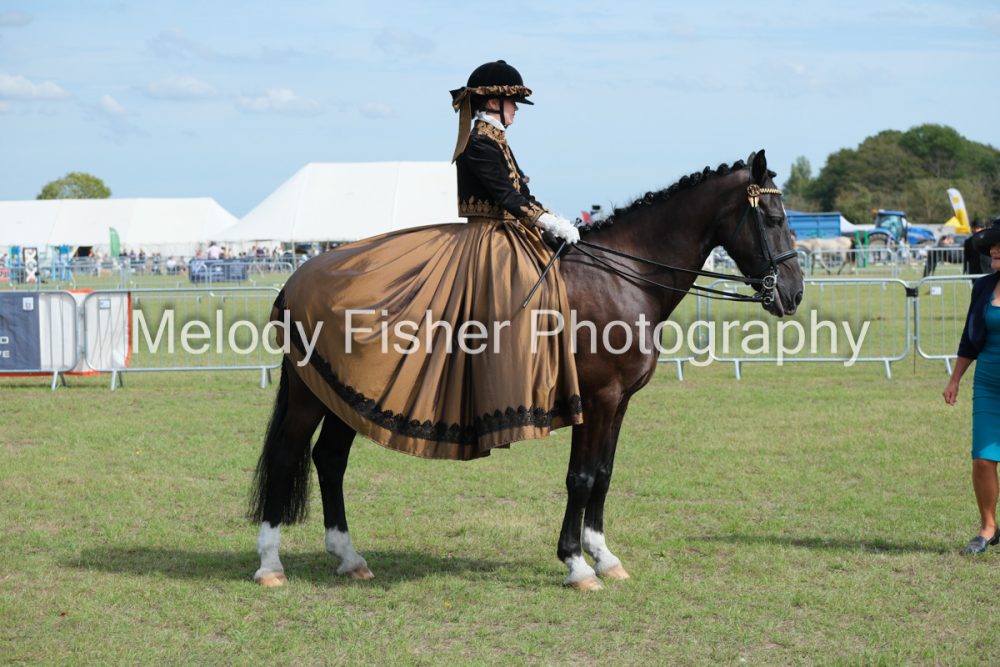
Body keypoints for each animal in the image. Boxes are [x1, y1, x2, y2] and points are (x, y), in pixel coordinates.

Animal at [247, 150, 804, 590]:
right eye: (775, 217)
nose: (794, 292)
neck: (623, 276)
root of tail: (298, 277)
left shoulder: (619, 401)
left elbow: (604, 474)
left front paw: (605, 557)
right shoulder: (597, 399)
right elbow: (581, 477)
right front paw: (576, 565)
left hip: (347, 396)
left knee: (329, 460)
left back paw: (349, 557)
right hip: (310, 395)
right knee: (288, 455)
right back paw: (271, 564)